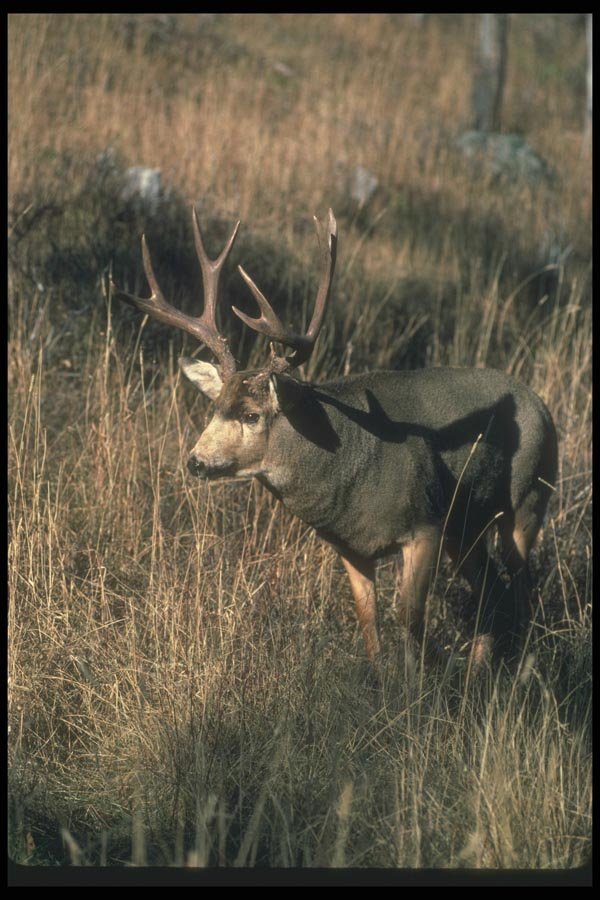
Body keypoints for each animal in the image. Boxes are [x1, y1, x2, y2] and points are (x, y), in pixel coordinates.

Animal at [111, 208, 558, 672]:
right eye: (215, 407)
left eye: (252, 415)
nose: (196, 460)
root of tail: (540, 405)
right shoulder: (351, 547)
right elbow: (368, 620)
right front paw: (383, 678)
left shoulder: (426, 524)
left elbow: (409, 617)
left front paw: (418, 682)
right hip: (468, 528)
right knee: (492, 591)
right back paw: (478, 671)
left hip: (528, 500)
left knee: (521, 590)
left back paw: (522, 671)